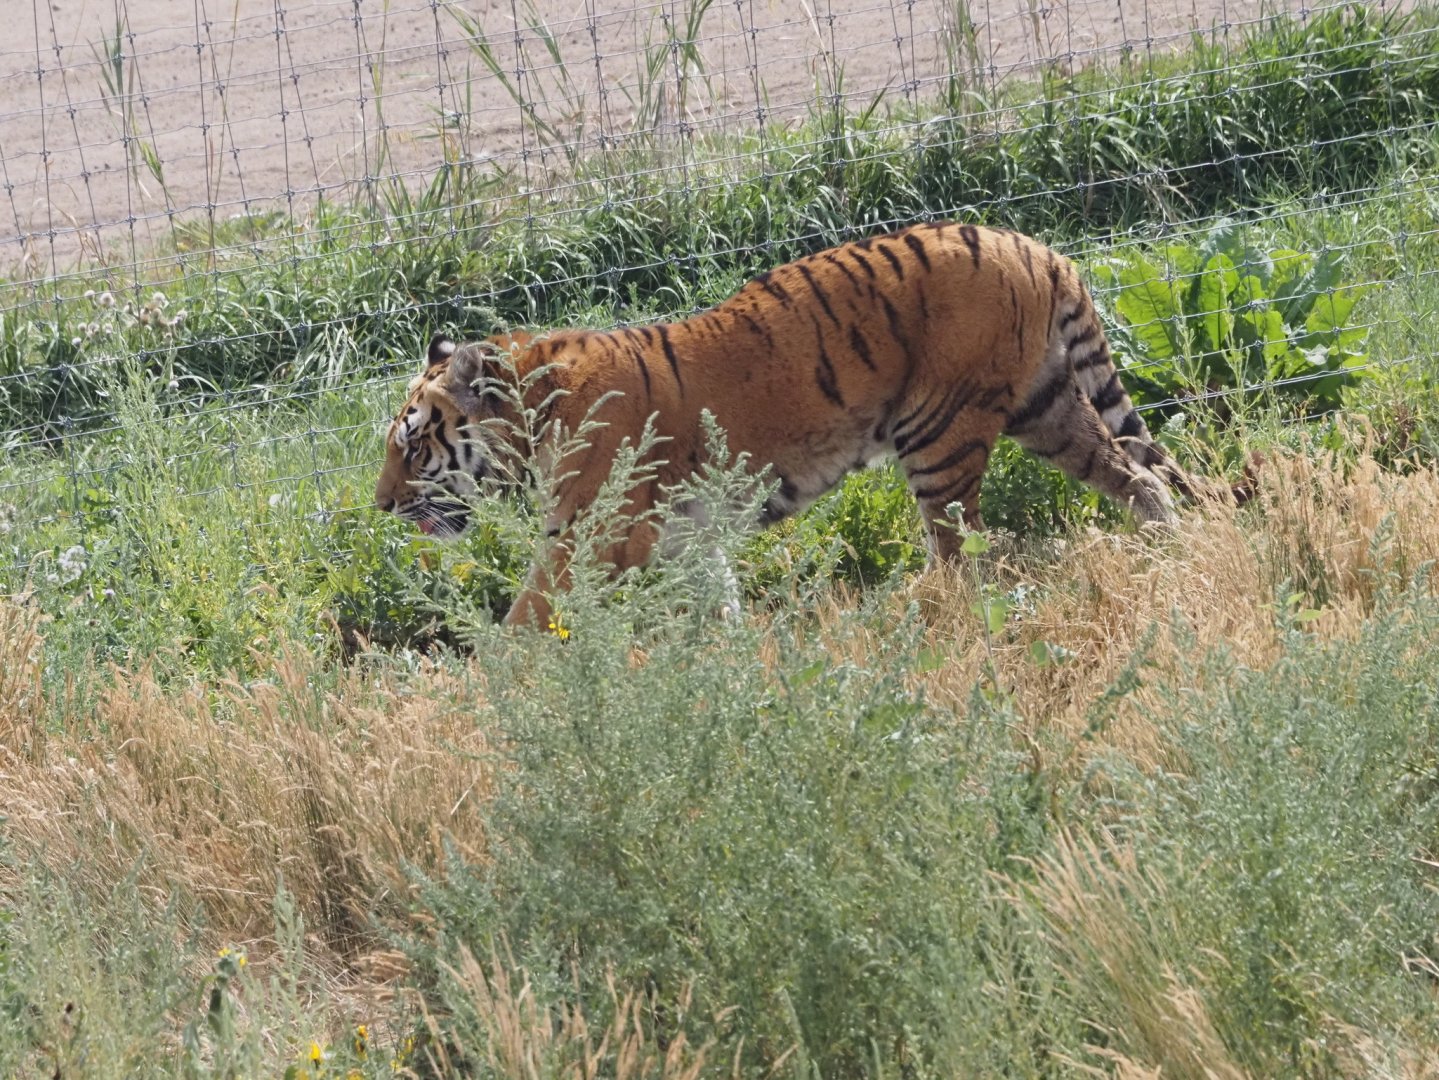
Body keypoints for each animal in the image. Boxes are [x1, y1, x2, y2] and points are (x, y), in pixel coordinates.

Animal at [375, 221, 1235, 629]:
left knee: (961, 553)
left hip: (939, 435)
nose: (382, 507)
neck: (537, 406)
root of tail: (1034, 245)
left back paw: (922, 618)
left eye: (413, 446)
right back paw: (1170, 553)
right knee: (1137, 474)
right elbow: (717, 607)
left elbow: (523, 621)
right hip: (1045, 407)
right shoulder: (690, 537)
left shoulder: (589, 537)